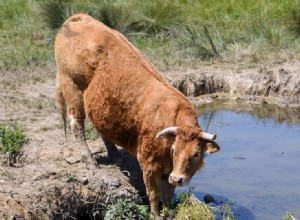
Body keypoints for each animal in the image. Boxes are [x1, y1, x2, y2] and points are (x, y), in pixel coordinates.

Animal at [55, 14, 220, 218]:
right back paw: (90, 161)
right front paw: (156, 215)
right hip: (72, 87)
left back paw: (115, 154)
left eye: (196, 153)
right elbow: (153, 193)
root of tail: (77, 17)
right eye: (175, 150)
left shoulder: (168, 171)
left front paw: (168, 212)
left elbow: (168, 194)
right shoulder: (149, 165)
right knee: (76, 123)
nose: (177, 177)